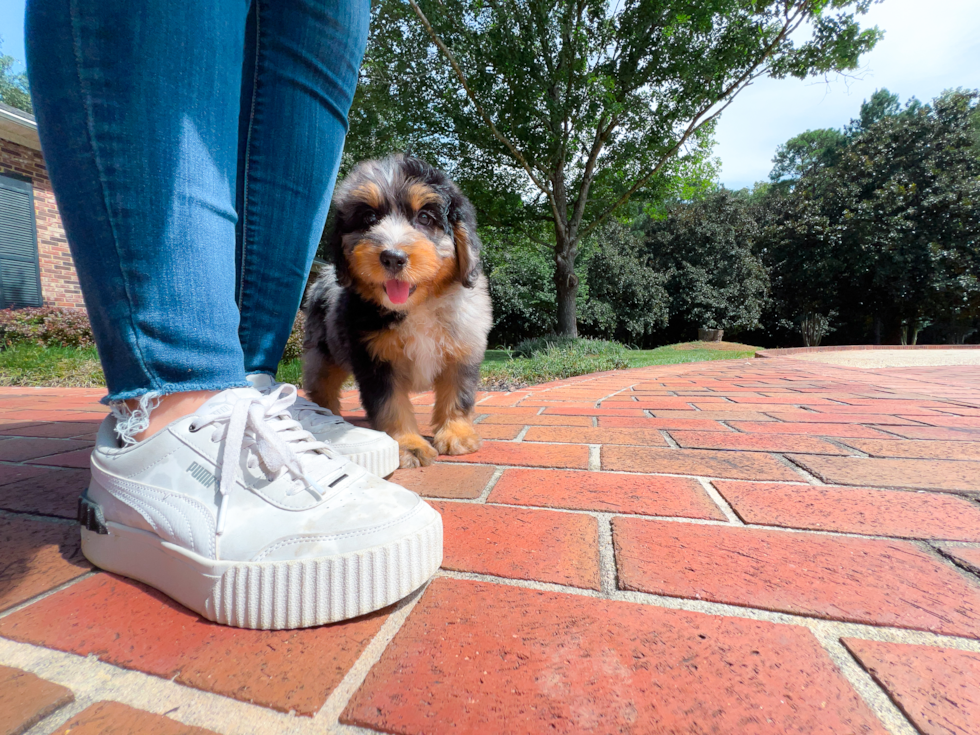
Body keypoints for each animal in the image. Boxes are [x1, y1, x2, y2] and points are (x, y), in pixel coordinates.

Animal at [302, 155, 490, 468]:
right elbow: (390, 405)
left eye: (425, 218)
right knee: (321, 387)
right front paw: (408, 446)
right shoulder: (375, 360)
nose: (393, 257)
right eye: (369, 218)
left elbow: (458, 395)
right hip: (323, 354)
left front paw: (457, 434)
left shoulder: (462, 351)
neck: (418, 307)